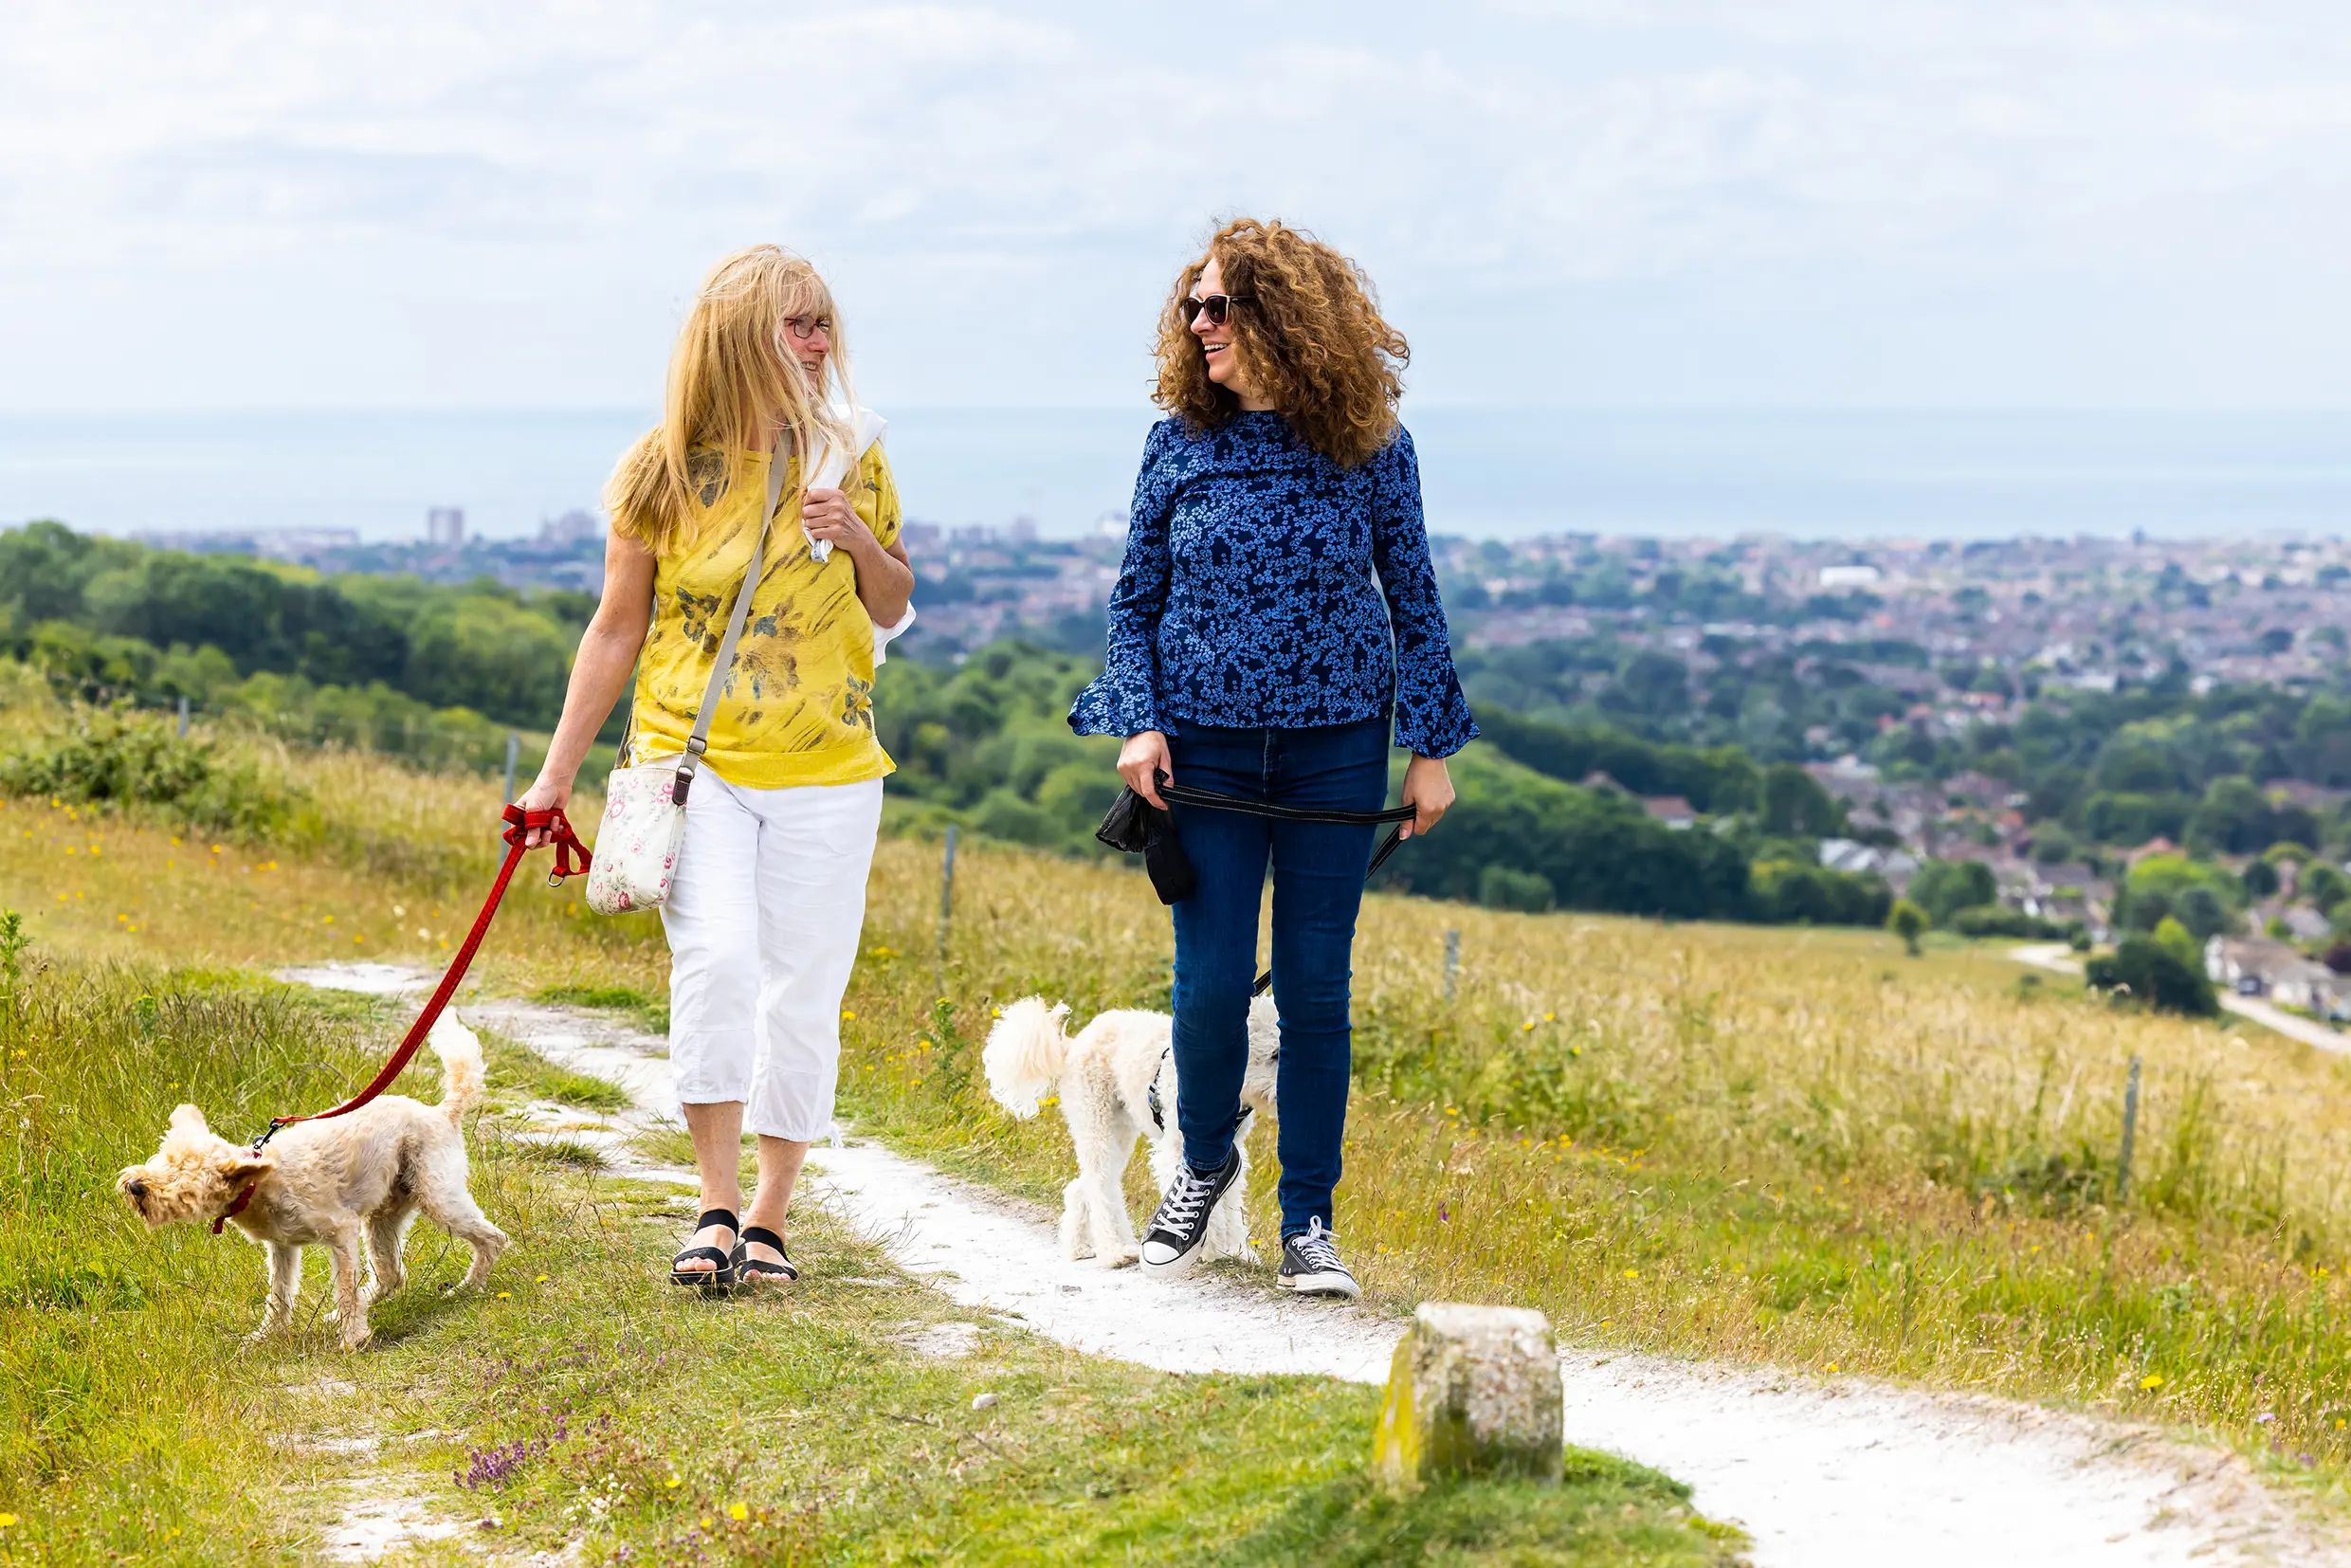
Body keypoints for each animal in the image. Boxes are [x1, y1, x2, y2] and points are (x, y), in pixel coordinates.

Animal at [112, 1020, 507, 1354]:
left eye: (184, 1177)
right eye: (161, 1158)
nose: (135, 1186)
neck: (258, 1183)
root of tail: (442, 1112)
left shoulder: (341, 1230)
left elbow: (344, 1288)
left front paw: (352, 1340)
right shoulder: (282, 1247)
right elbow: (279, 1295)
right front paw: (265, 1336)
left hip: (438, 1197)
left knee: (493, 1239)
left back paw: (467, 1289)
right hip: (382, 1219)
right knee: (391, 1276)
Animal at [982, 1001, 1279, 1269]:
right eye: (1276, 1054)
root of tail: (1073, 1045)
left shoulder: (1232, 1152)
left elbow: (1229, 1201)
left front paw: (1236, 1250)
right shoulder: (1181, 1150)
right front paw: (1213, 1248)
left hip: (1118, 1131)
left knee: (1082, 1186)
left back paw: (1079, 1247)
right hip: (1096, 1122)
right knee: (1101, 1186)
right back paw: (1117, 1250)